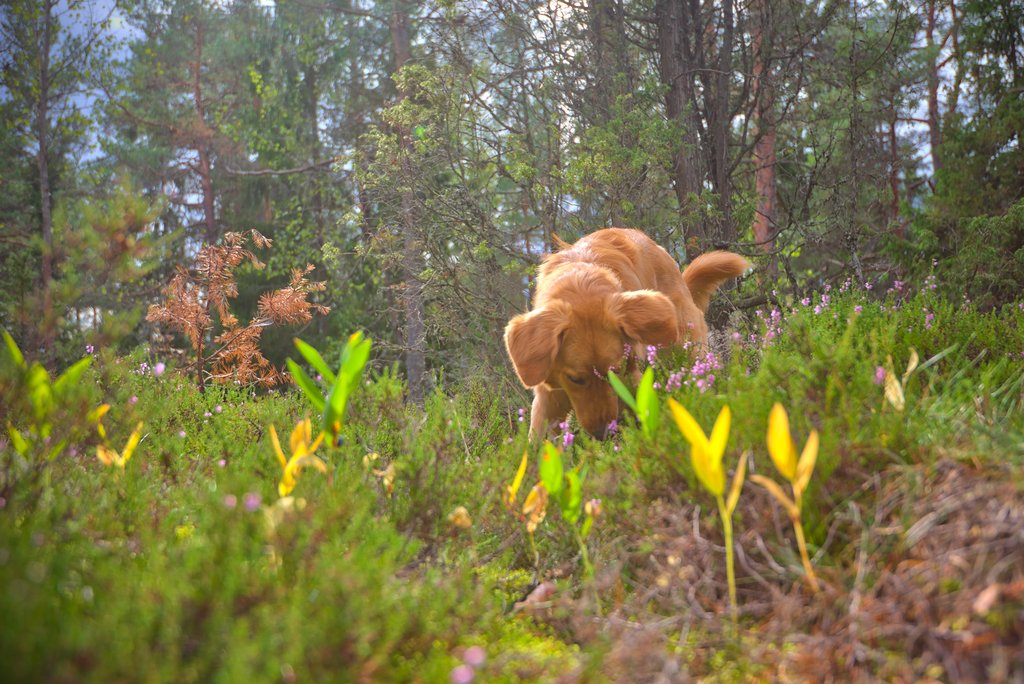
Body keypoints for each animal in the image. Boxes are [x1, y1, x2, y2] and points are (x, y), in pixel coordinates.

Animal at [507, 229, 749, 440]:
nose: (603, 434)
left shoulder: (630, 380)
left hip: (683, 348)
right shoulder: (549, 395)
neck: (580, 284)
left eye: (614, 371)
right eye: (576, 379)